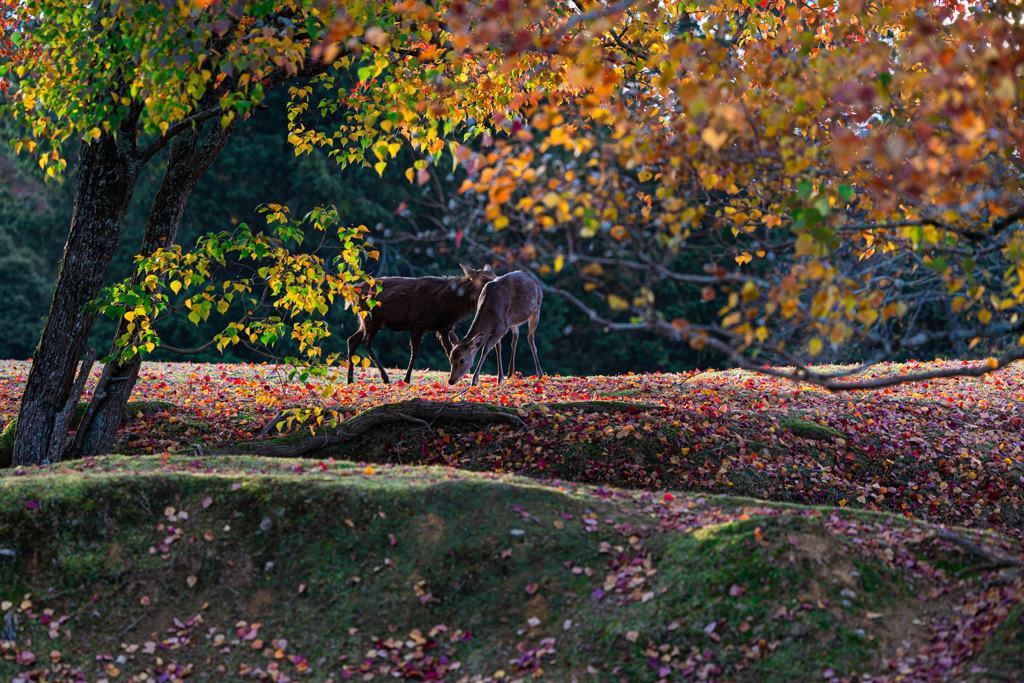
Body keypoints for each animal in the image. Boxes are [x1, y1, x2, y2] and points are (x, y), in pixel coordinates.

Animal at [344, 264, 495, 385]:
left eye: (494, 276)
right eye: (483, 279)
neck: (449, 307)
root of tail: (353, 291)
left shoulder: (445, 327)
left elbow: (449, 351)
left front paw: (459, 377)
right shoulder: (418, 322)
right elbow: (415, 353)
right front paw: (406, 379)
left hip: (366, 319)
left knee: (352, 339)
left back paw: (350, 379)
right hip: (372, 318)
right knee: (365, 342)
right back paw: (385, 378)